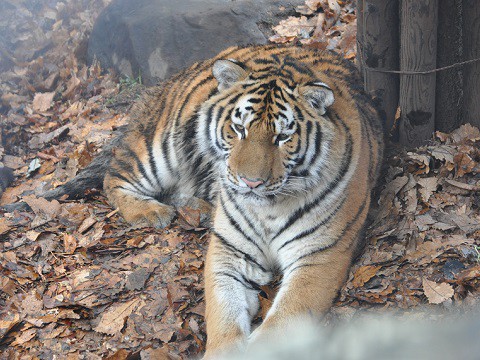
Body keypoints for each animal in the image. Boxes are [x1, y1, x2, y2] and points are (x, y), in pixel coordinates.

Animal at [1, 45, 382, 358]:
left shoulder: (319, 256)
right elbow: (224, 318)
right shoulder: (229, 252)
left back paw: (198, 210)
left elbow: (283, 322)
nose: (250, 182)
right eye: (239, 129)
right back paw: (153, 212)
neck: (268, 208)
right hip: (160, 147)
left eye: (282, 137)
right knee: (114, 176)